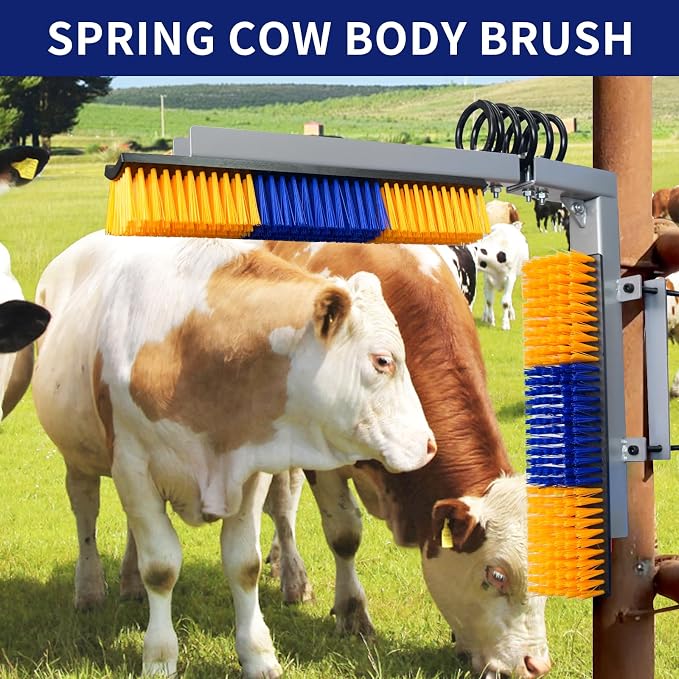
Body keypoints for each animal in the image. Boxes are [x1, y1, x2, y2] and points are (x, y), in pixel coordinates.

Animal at [31, 230, 436, 679]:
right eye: (382, 360)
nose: (429, 444)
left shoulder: (250, 470)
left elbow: (244, 565)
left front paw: (259, 656)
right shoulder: (133, 466)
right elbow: (161, 568)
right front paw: (159, 656)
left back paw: (129, 584)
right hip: (78, 457)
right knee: (86, 512)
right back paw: (88, 589)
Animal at [260, 241, 551, 679]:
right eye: (496, 574)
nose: (536, 665)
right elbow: (344, 533)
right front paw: (353, 613)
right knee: (281, 502)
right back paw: (293, 577)